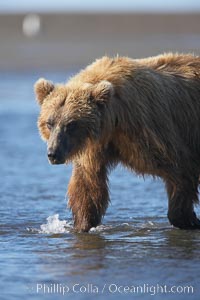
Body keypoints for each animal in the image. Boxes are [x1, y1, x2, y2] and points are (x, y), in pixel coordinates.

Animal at [35, 52, 200, 232]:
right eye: (49, 123)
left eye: (71, 124)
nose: (53, 153)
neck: (113, 122)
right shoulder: (94, 147)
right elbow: (87, 185)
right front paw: (82, 225)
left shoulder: (145, 131)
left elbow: (179, 167)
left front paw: (187, 220)